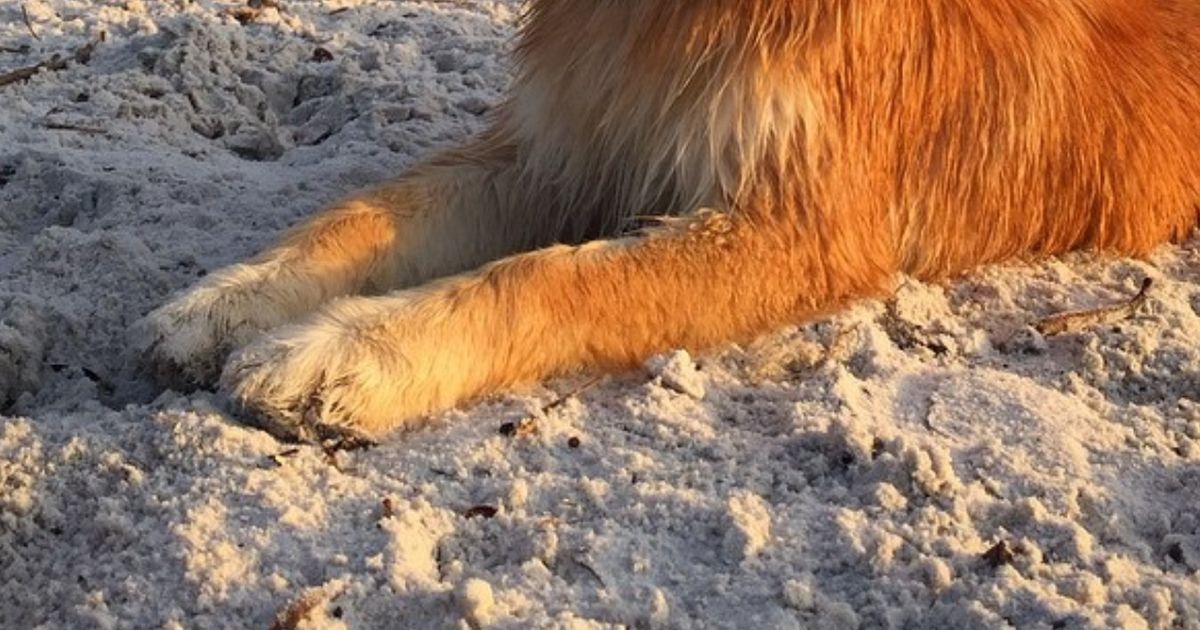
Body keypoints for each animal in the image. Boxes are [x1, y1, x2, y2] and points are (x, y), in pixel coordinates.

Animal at [136, 0, 1200, 442]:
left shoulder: (799, 229)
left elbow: (552, 275)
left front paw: (345, 352)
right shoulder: (560, 148)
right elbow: (363, 213)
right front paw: (228, 301)